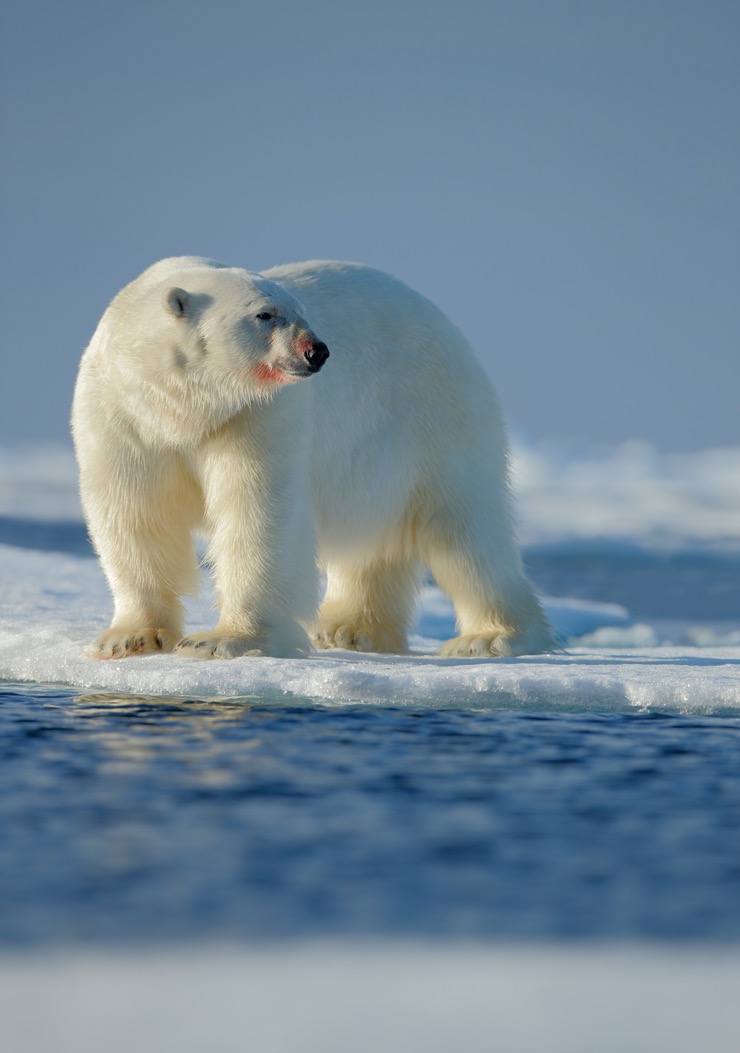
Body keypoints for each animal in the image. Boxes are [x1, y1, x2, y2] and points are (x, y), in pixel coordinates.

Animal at [72, 256, 551, 657]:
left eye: (302, 311)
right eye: (265, 314)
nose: (316, 350)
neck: (185, 408)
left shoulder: (255, 417)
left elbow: (257, 512)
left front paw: (224, 640)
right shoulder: (123, 417)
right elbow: (134, 512)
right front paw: (130, 638)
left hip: (436, 415)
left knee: (465, 531)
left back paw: (489, 637)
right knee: (375, 541)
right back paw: (349, 629)